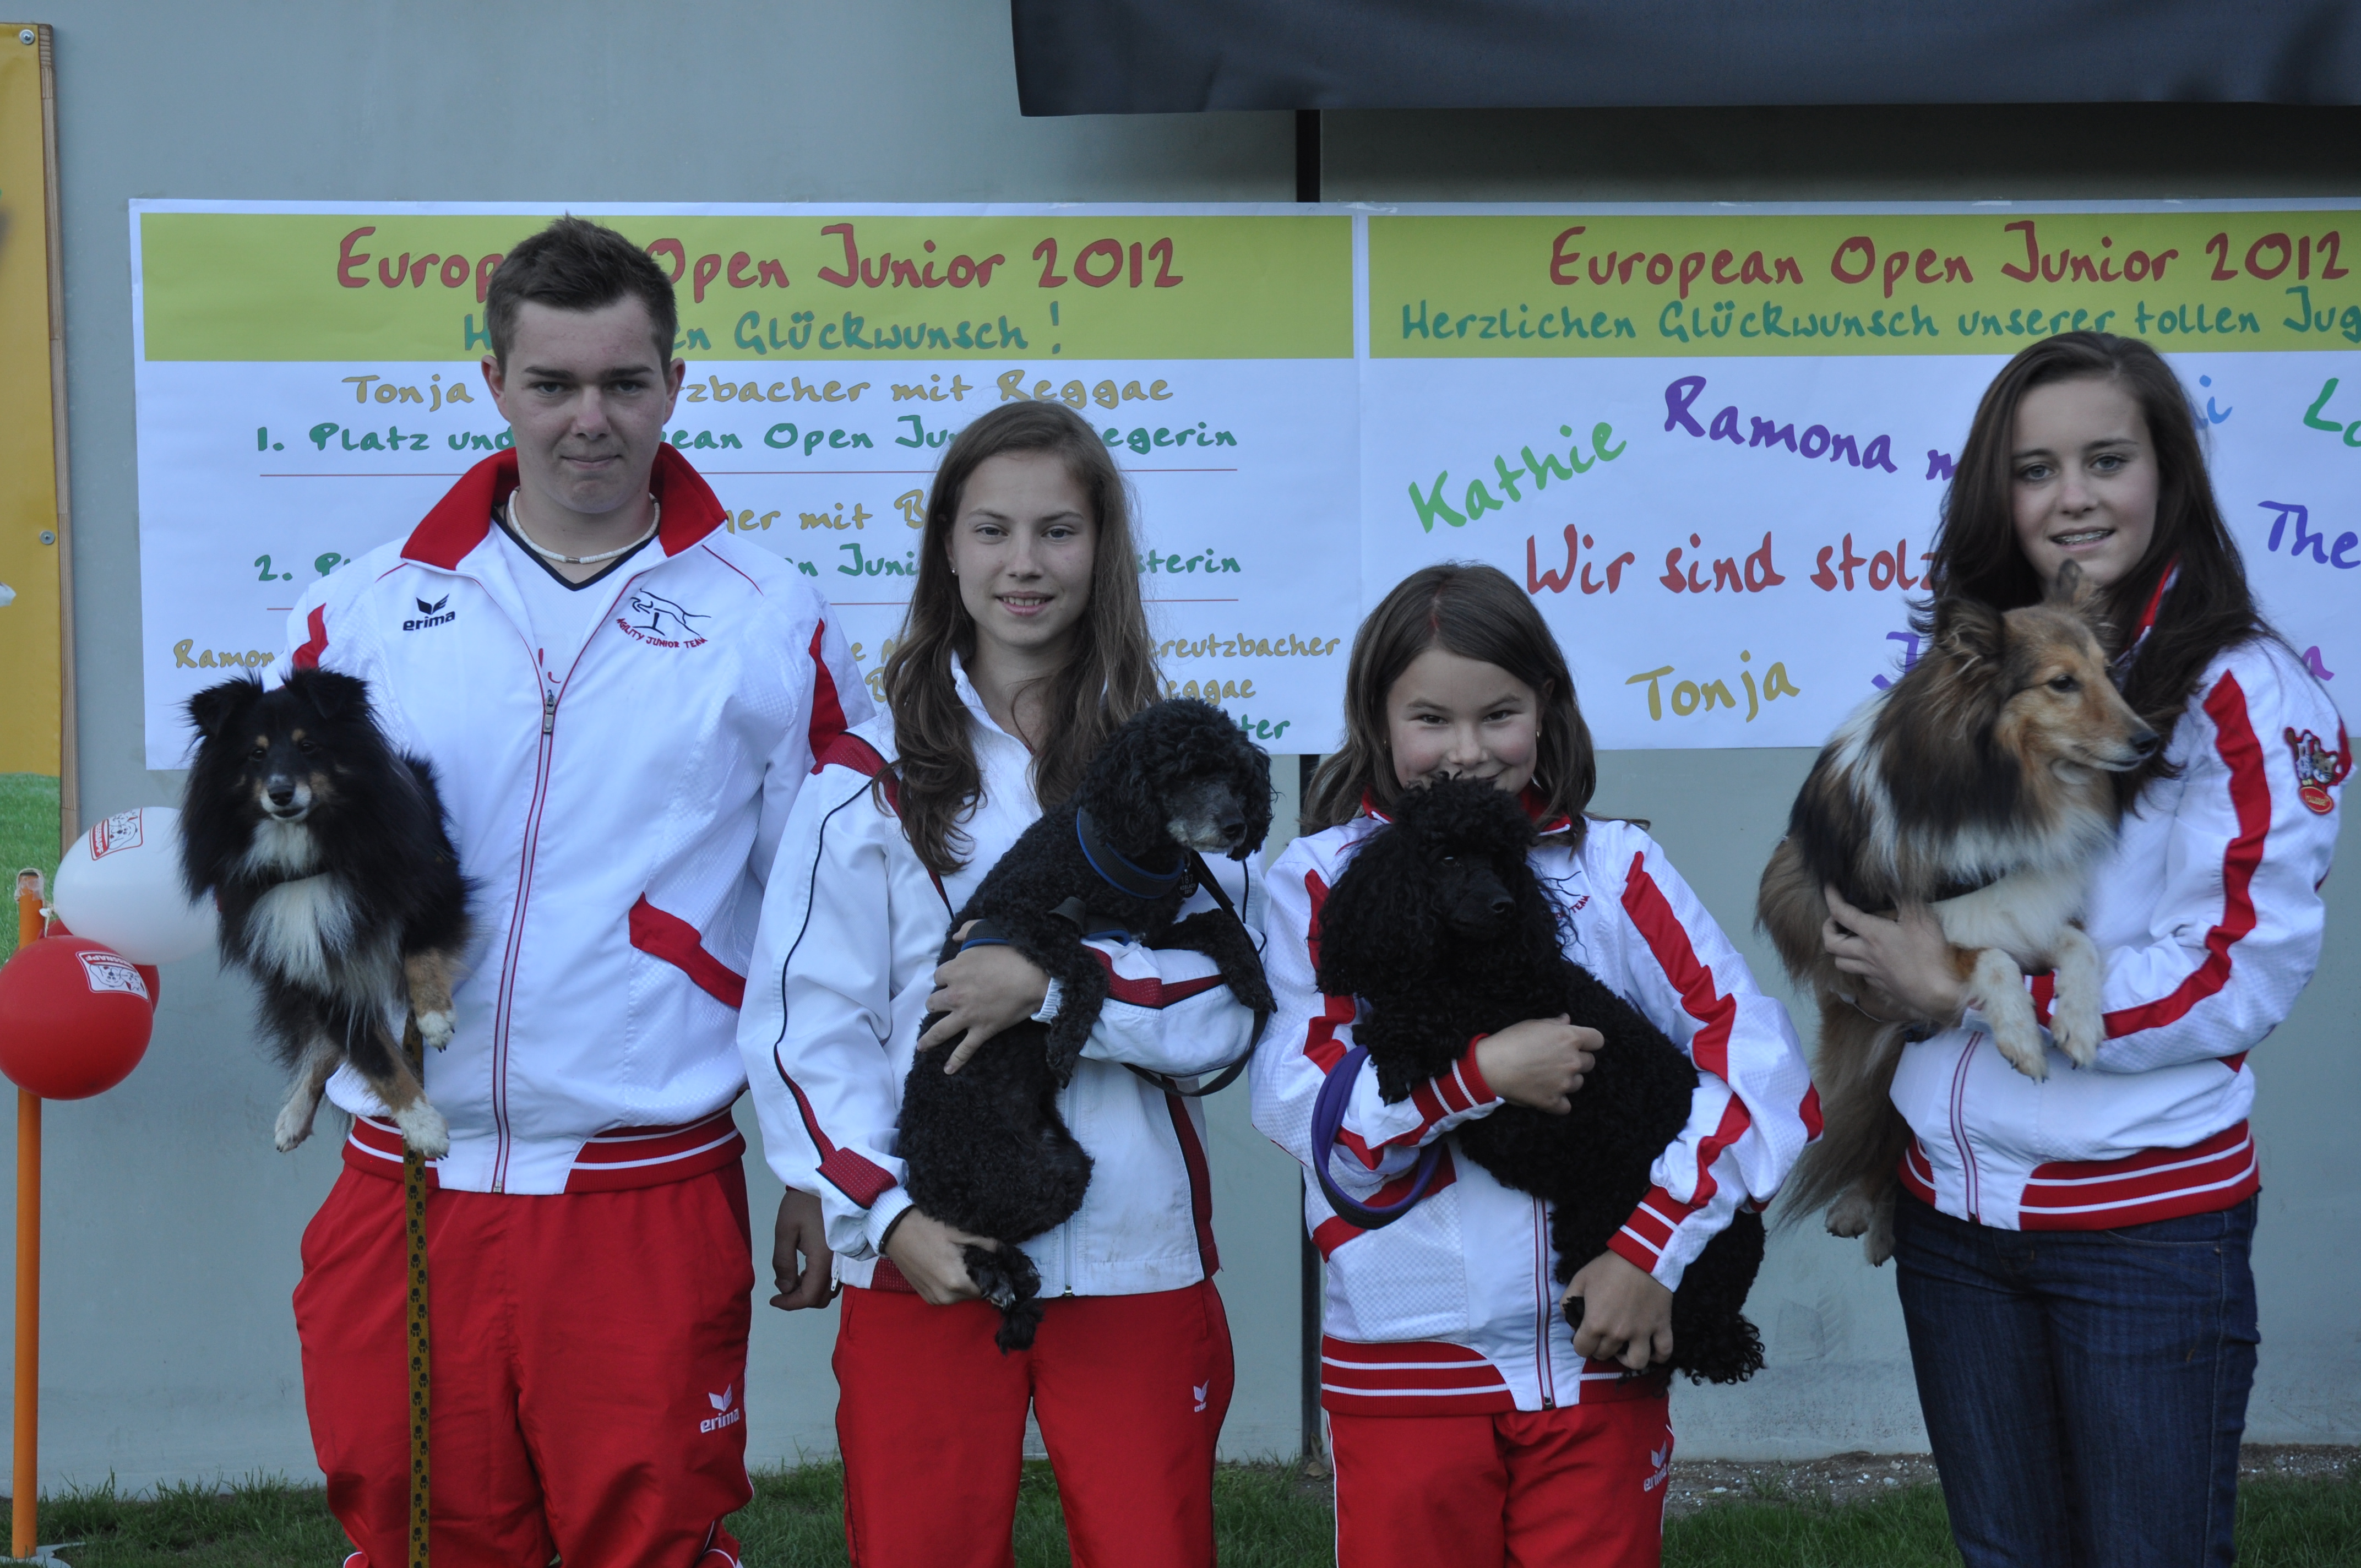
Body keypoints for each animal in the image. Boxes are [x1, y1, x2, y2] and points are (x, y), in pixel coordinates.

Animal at [179, 669, 472, 1158]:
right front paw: (423, 1126)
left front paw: (433, 1017)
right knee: (326, 1047)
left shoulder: (436, 882)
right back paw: (293, 1116)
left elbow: (420, 950)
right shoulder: (311, 967)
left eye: (308, 745)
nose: (280, 794)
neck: (307, 861)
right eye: (256, 753)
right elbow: (374, 1058)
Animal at [898, 698, 1275, 1351]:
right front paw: (1069, 1034)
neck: (1115, 860)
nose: (1233, 825)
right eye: (1182, 774)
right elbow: (1089, 969)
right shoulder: (1018, 921)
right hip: (1008, 1178)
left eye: (1233, 775)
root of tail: (921, 1167)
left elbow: (1215, 927)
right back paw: (999, 1277)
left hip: (1062, 1173)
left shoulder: (1148, 936)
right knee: (967, 1233)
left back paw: (1012, 1277)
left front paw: (1251, 976)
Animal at [1314, 777, 1766, 1386]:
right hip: (1583, 1226)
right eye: (1448, 857)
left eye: (1503, 863)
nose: (1503, 906)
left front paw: (1397, 1046)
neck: (1462, 964)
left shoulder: (1509, 1000)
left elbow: (1438, 1011)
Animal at [1757, 562, 2157, 1262]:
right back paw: (1861, 1207)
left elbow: (2079, 948)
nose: (2148, 739)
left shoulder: (2031, 904)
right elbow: (1990, 959)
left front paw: (2078, 1023)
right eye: (2061, 682)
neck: (1998, 792)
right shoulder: (1897, 924)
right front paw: (2021, 1035)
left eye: (2109, 671)